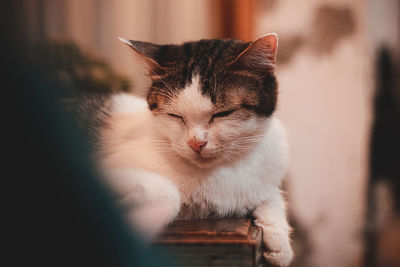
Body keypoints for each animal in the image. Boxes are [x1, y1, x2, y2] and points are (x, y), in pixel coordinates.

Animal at [89, 33, 292, 267]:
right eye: (175, 116)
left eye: (223, 113)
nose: (196, 143)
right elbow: (169, 194)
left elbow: (272, 194)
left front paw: (279, 242)